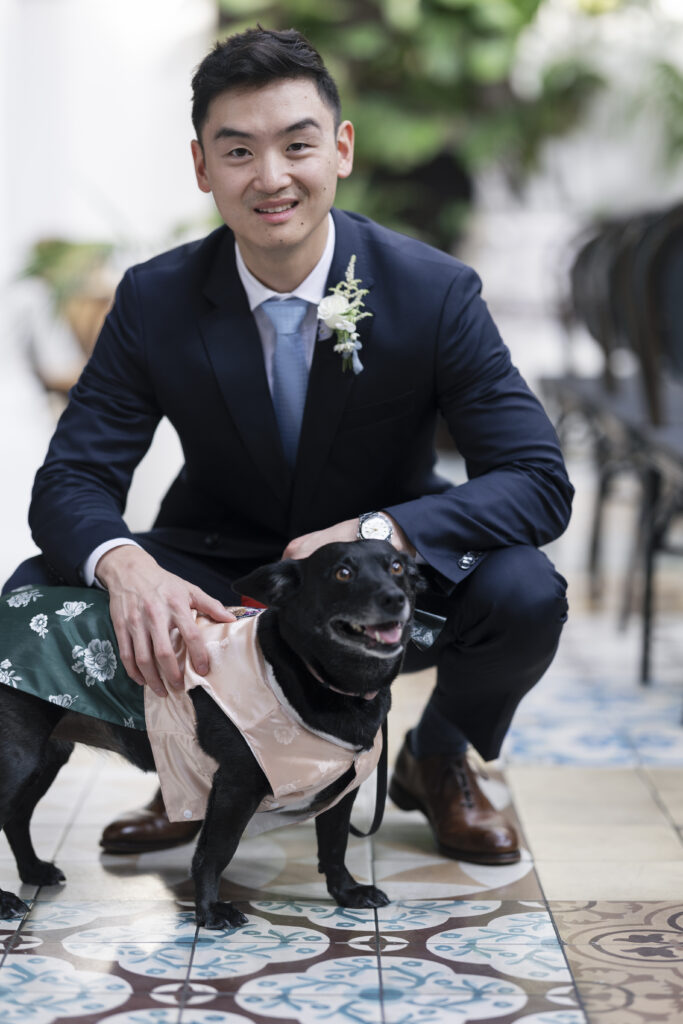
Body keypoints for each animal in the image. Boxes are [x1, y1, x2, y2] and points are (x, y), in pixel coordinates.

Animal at [0, 540, 417, 933]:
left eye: (397, 567)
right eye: (342, 573)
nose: (395, 599)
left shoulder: (342, 788)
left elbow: (335, 845)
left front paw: (347, 892)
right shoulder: (236, 786)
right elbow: (215, 852)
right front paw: (209, 910)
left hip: (45, 759)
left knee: (16, 817)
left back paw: (33, 871)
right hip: (18, 760)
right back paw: (7, 901)